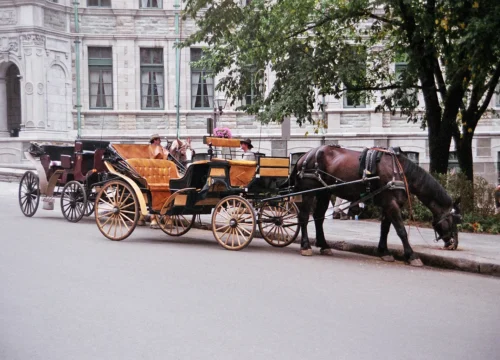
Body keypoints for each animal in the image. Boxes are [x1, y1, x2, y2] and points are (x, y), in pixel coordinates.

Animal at [292, 145, 460, 266]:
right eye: (455, 220)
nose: (454, 244)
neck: (400, 171)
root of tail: (305, 155)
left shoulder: (388, 205)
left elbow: (385, 229)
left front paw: (384, 251)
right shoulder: (391, 204)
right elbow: (401, 230)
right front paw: (411, 255)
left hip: (324, 193)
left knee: (319, 217)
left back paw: (324, 245)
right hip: (309, 192)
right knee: (304, 217)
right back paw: (305, 246)